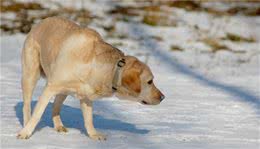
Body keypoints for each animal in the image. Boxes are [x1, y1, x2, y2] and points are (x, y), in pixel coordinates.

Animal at [17, 16, 165, 140]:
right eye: (150, 81)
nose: (163, 97)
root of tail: (41, 21)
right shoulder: (50, 87)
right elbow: (37, 114)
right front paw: (25, 133)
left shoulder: (86, 97)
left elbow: (89, 119)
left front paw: (94, 135)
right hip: (31, 75)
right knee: (27, 106)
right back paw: (26, 123)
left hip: (63, 91)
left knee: (56, 106)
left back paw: (59, 126)